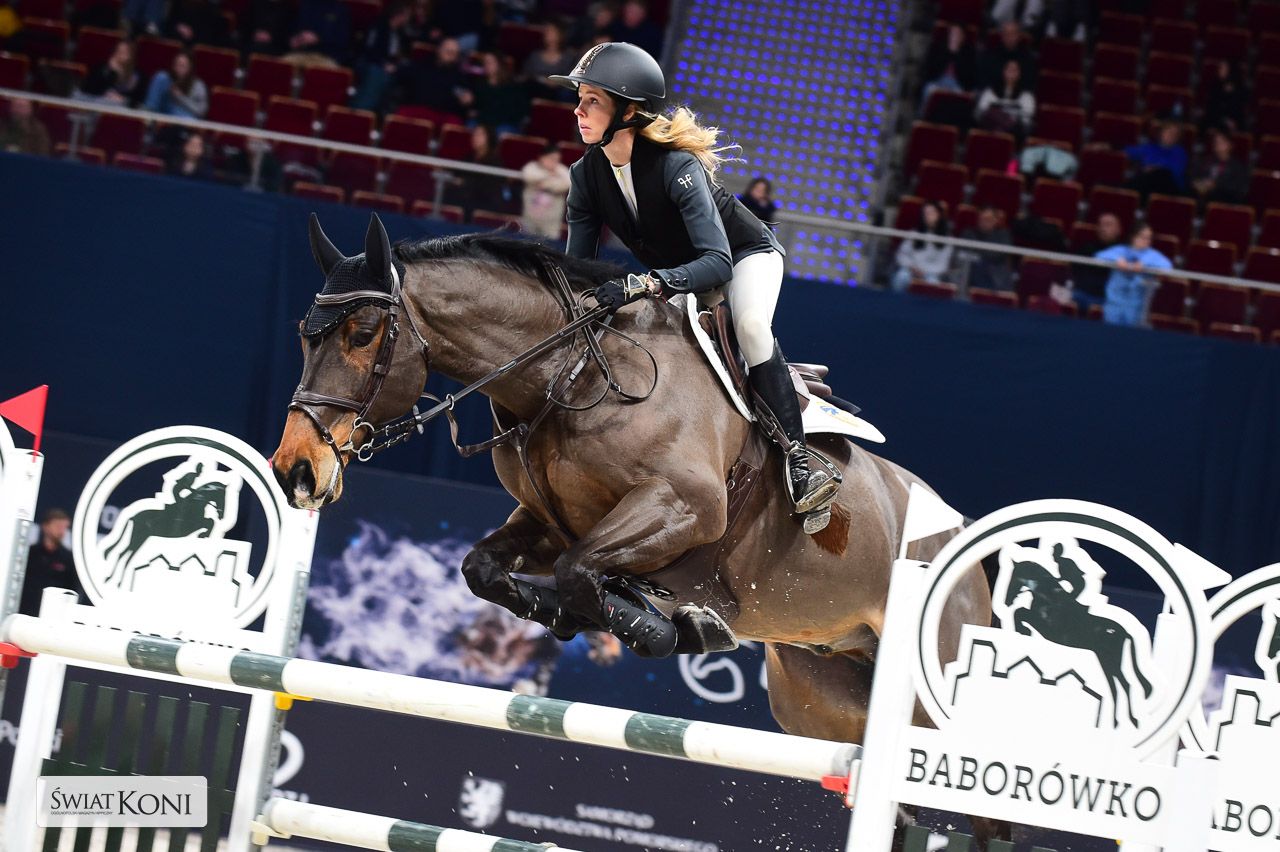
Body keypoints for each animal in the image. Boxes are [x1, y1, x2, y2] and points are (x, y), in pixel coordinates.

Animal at [272, 215, 1001, 845]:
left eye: (363, 333)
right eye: (304, 334)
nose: (296, 472)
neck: (571, 375)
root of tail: (963, 539)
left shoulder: (683, 507)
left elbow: (581, 573)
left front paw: (663, 626)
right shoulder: (550, 523)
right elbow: (493, 570)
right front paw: (606, 615)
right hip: (821, 700)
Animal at [1003, 557, 1154, 728]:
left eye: (1014, 577)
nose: (1007, 601)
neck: (1048, 597)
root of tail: (1124, 632)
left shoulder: (1047, 629)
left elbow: (1020, 612)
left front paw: (1023, 630)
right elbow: (1020, 612)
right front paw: (1023, 630)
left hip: (1109, 661)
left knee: (1122, 686)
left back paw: (1123, 721)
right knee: (1119, 686)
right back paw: (1121, 721)